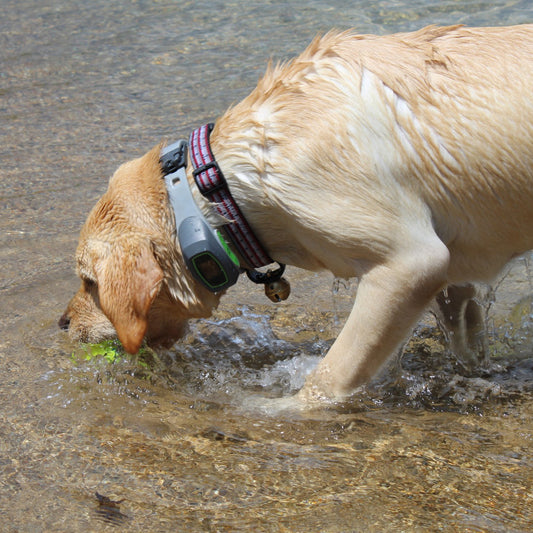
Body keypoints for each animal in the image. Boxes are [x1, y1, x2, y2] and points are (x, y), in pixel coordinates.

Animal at [60, 25, 532, 400]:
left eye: (90, 282)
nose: (62, 324)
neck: (222, 187)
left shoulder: (411, 264)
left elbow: (329, 376)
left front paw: (278, 410)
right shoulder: (451, 271)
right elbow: (465, 330)